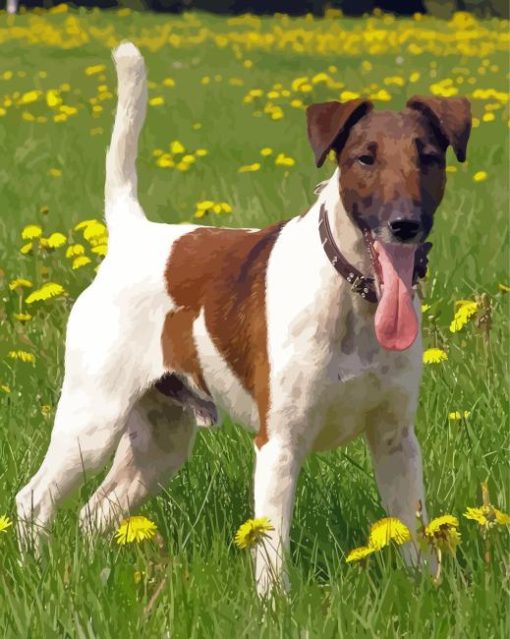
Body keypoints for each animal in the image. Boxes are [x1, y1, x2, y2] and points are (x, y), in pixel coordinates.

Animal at [14, 43, 470, 596]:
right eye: (366, 157)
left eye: (429, 158)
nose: (405, 224)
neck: (351, 296)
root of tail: (132, 235)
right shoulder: (278, 444)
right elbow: (272, 554)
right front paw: (276, 606)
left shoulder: (396, 441)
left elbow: (416, 538)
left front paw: (434, 594)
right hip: (92, 421)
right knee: (33, 501)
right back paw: (36, 575)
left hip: (159, 443)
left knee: (93, 514)